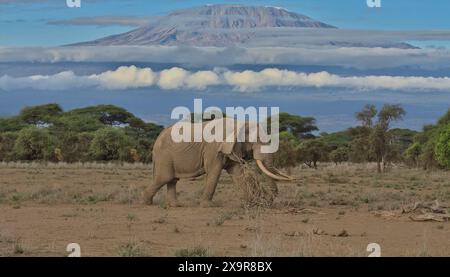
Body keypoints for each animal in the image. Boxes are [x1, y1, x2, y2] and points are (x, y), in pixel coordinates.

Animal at [142, 117, 294, 206]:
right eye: (257, 140)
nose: (265, 199)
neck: (238, 124)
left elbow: (237, 173)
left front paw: (251, 202)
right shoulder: (213, 148)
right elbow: (214, 172)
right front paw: (207, 206)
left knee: (172, 180)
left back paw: (175, 205)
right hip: (164, 156)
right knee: (164, 178)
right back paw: (147, 203)